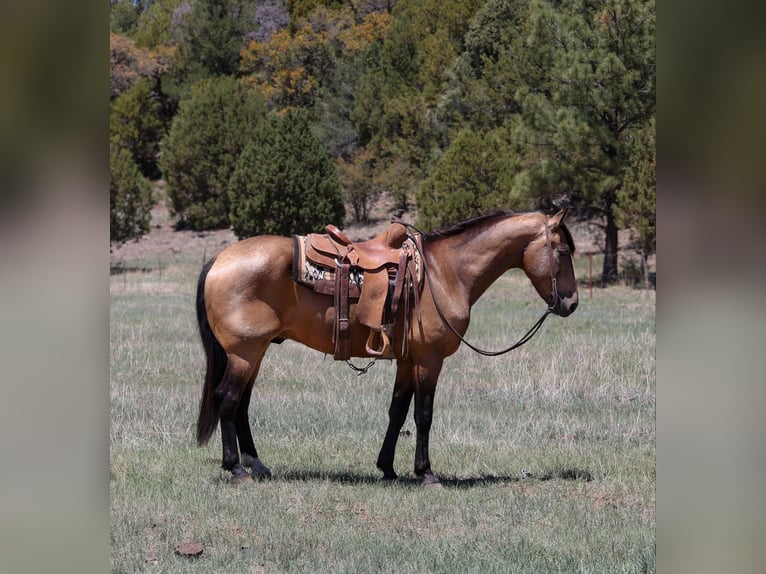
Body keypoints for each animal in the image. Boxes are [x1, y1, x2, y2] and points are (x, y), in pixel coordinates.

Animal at [195, 208, 578, 485]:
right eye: (562, 251)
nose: (571, 304)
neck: (445, 273)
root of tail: (219, 259)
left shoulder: (408, 361)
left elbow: (397, 412)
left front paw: (388, 468)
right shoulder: (429, 361)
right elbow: (423, 415)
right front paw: (426, 473)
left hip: (254, 353)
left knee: (241, 404)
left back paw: (256, 465)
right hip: (245, 353)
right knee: (228, 399)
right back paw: (236, 469)